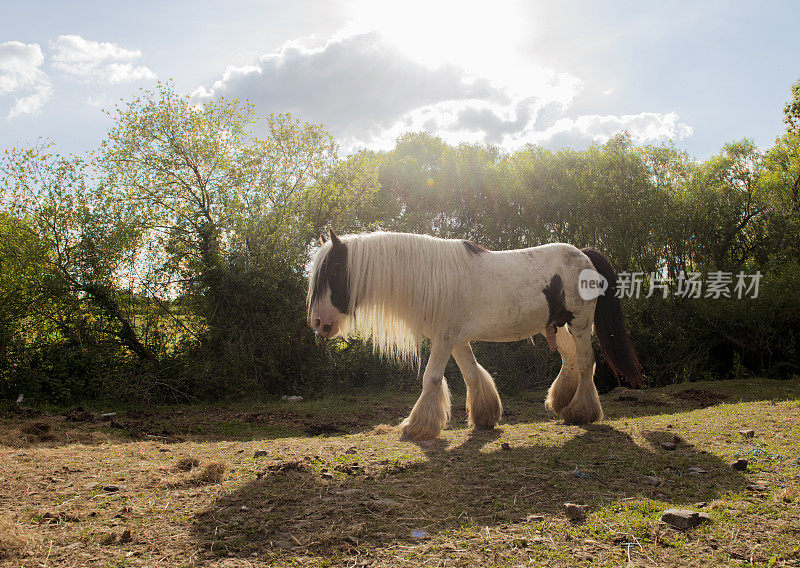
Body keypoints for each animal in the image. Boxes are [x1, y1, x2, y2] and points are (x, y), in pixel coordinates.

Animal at [306, 229, 644, 442]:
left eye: (333, 272)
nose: (318, 323)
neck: (429, 277)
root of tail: (584, 254)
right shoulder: (456, 340)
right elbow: (472, 374)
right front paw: (485, 416)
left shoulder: (444, 338)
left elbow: (431, 378)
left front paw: (417, 426)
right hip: (558, 327)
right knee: (571, 360)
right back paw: (561, 402)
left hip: (580, 324)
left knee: (586, 363)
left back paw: (581, 412)